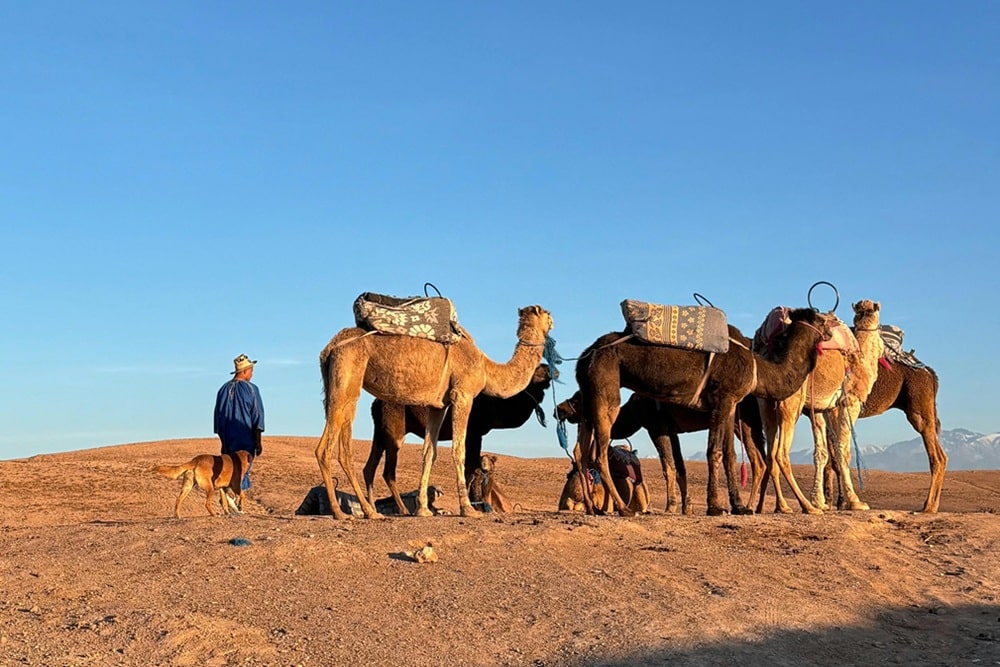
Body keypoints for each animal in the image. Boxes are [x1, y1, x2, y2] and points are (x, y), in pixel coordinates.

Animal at [364, 364, 551, 515]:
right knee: (388, 472)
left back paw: (372, 509)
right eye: (537, 370)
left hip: (380, 431)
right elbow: (471, 468)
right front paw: (470, 507)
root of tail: (376, 403)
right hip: (394, 432)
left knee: (369, 467)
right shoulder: (474, 431)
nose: (549, 370)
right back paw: (403, 510)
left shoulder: (475, 433)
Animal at [555, 390, 766, 514]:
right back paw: (746, 506)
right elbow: (680, 467)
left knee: (748, 459)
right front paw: (686, 507)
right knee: (752, 459)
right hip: (741, 422)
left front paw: (670, 506)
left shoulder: (656, 428)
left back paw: (745, 506)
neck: (633, 411)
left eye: (577, 398)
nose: (559, 409)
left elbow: (668, 467)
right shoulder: (672, 431)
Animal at [755, 300, 884, 514]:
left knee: (771, 454)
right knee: (781, 453)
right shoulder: (848, 402)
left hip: (766, 405)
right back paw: (805, 507)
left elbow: (821, 453)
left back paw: (783, 506)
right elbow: (842, 451)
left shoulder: (822, 408)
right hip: (791, 402)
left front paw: (820, 501)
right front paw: (855, 501)